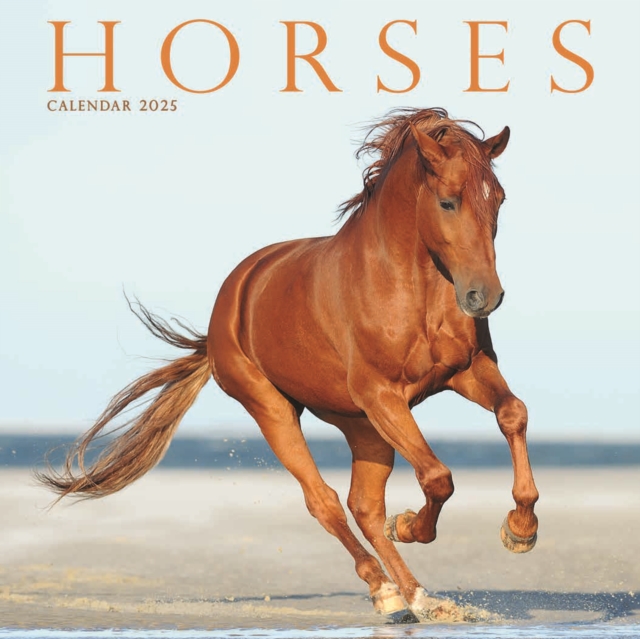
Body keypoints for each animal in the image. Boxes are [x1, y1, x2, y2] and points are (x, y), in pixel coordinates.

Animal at [38, 107, 539, 623]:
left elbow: (511, 413)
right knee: (326, 502)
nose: (484, 296)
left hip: (363, 427)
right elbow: (438, 477)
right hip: (276, 409)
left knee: (364, 507)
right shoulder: (381, 394)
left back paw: (419, 598)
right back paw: (388, 590)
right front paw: (410, 526)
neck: (408, 285)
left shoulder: (466, 372)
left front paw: (520, 529)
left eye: (498, 199)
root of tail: (229, 304)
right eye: (447, 202)